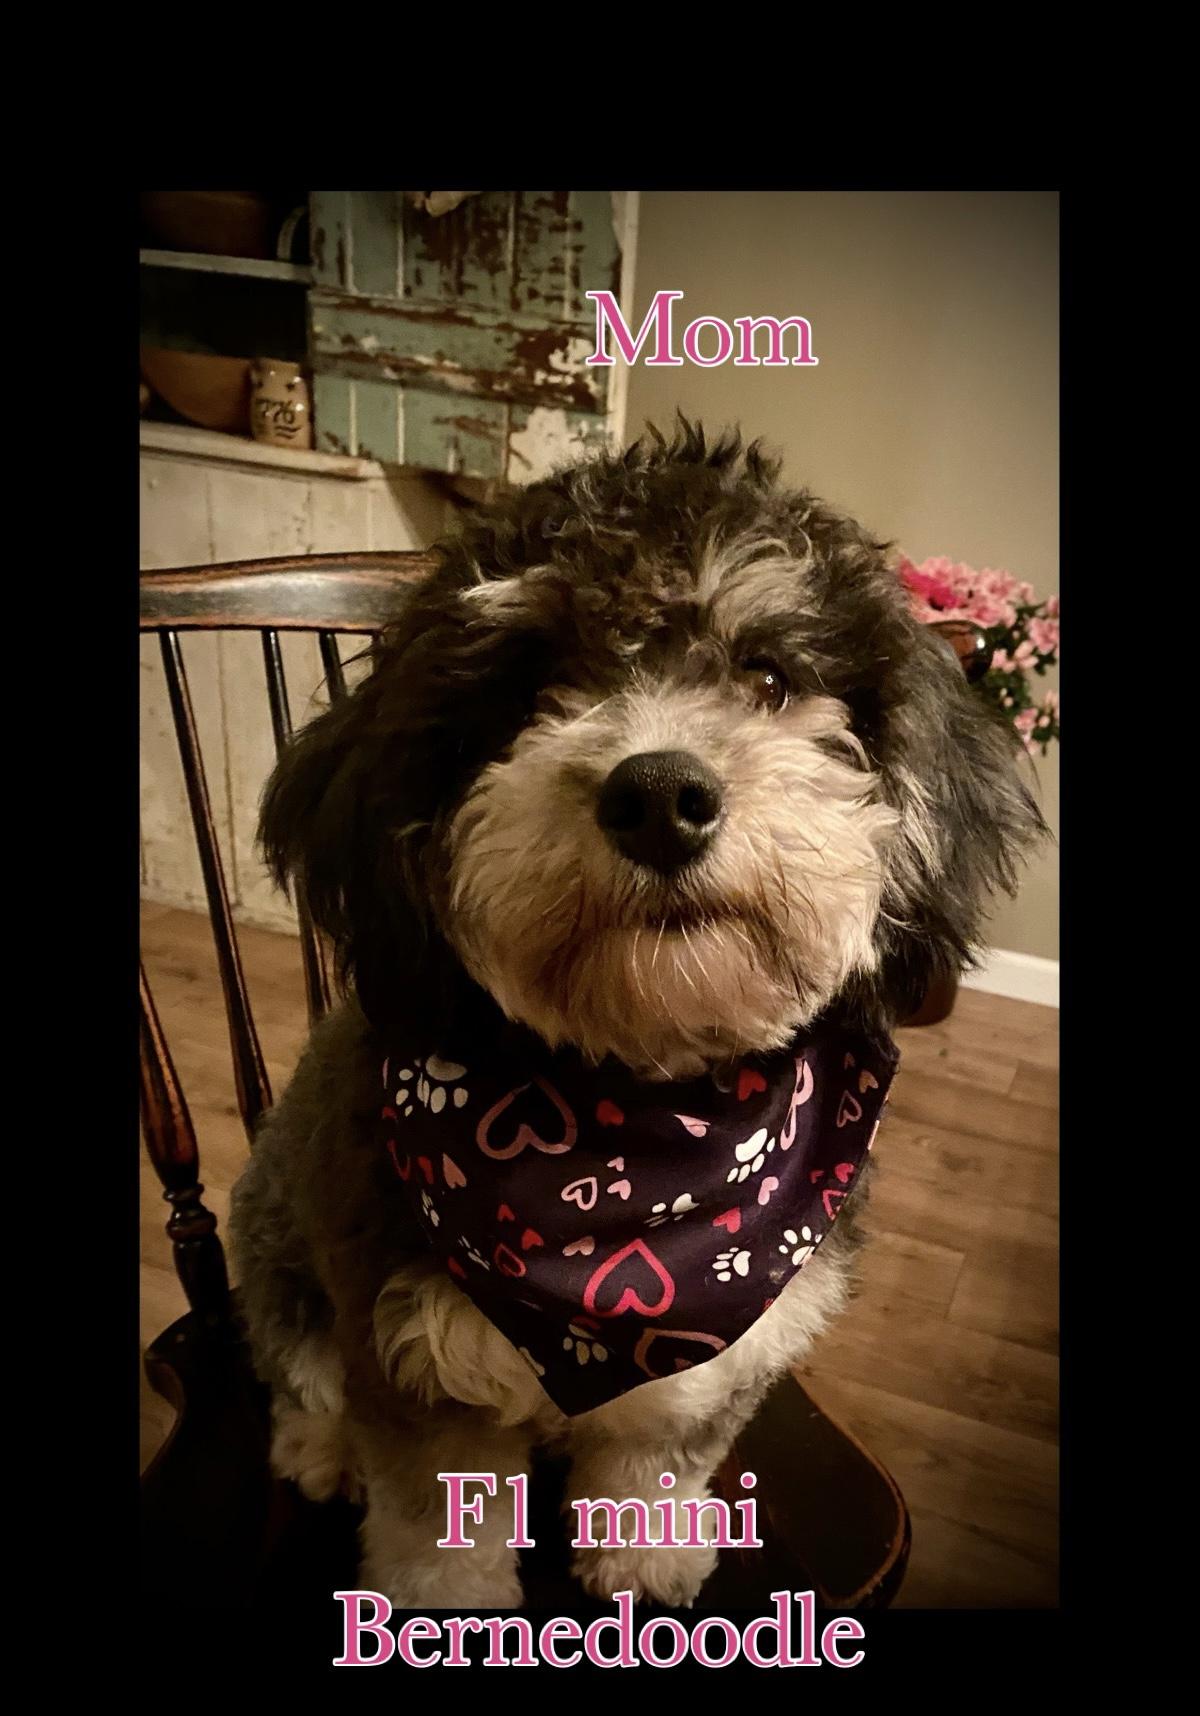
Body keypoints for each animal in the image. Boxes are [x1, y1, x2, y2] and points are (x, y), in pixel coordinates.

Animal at [230, 420, 1043, 1610]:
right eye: (528, 686)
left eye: (768, 674)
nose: (660, 796)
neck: (639, 1125)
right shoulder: (407, 1346)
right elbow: (431, 1516)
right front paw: (443, 1609)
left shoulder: (723, 1351)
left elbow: (662, 1448)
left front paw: (644, 1547)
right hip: (277, 1245)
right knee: (299, 1376)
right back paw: (314, 1448)